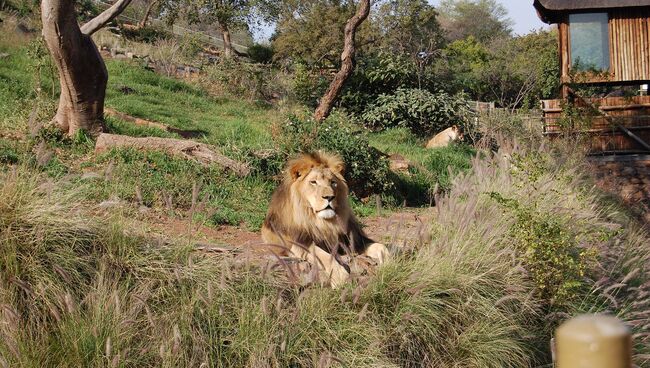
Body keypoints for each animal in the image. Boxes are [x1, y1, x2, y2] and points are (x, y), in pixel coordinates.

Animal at [260, 152, 390, 288]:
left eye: (333, 182)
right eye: (313, 182)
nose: (329, 197)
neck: (323, 223)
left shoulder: (354, 240)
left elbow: (381, 247)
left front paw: (390, 264)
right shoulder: (300, 245)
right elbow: (324, 256)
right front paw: (341, 277)